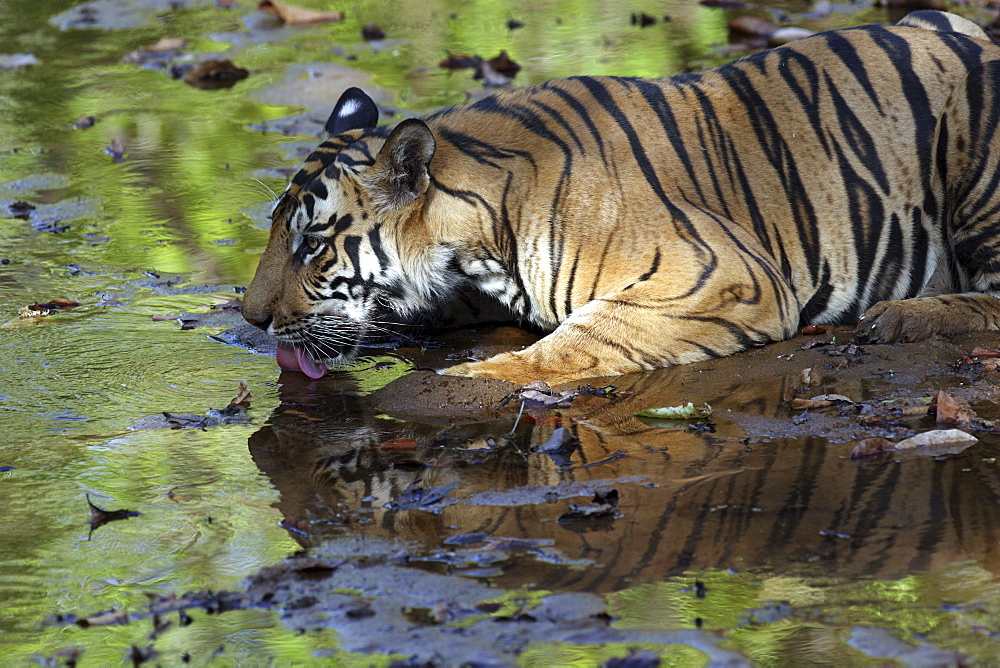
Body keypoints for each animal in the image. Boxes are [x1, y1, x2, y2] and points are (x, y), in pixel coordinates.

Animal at [240, 10, 1000, 384]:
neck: (475, 240)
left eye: (312, 244)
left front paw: (483, 376)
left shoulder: (722, 276)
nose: (252, 319)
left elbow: (585, 338)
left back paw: (901, 317)